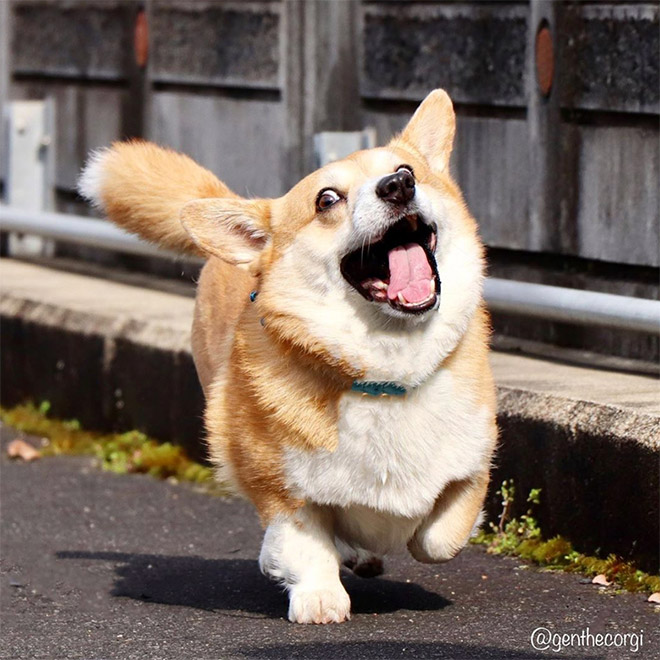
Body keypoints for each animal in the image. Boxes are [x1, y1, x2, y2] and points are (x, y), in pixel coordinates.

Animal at [78, 89, 496, 624]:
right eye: (327, 199)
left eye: (407, 170)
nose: (399, 186)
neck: (384, 371)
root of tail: (254, 212)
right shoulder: (281, 487)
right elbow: (305, 541)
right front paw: (318, 596)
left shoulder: (472, 465)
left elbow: (439, 538)